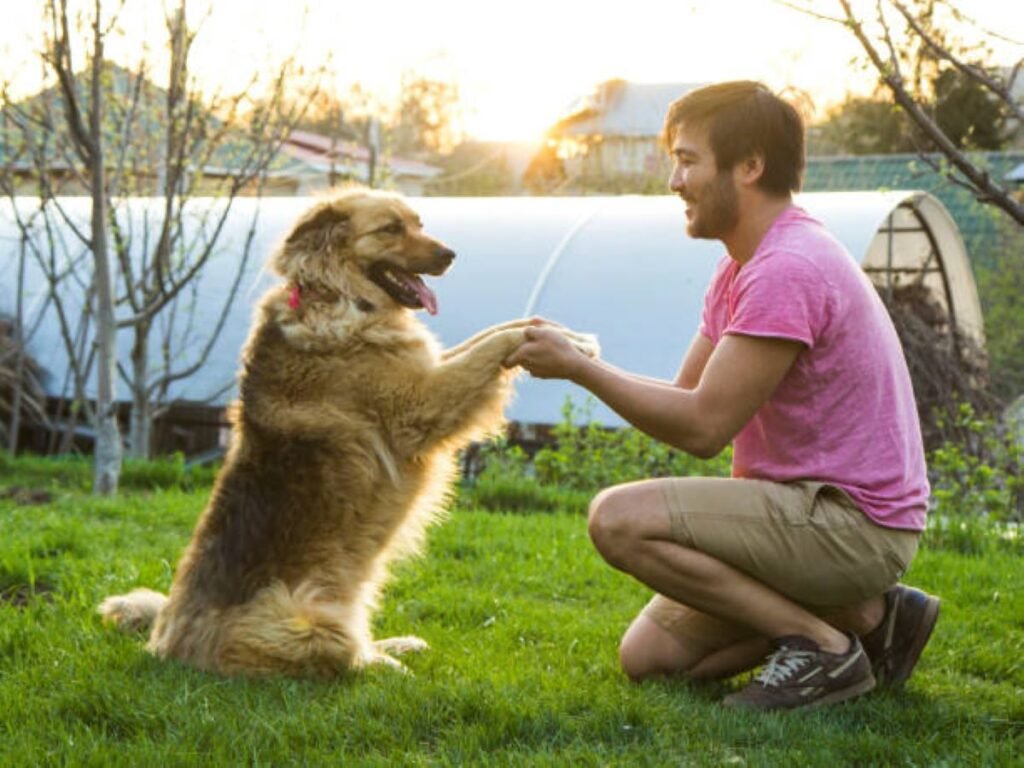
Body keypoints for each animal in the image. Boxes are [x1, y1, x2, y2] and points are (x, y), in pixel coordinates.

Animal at [96, 188, 598, 679]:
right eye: (391, 229)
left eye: (418, 223)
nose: (450, 255)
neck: (336, 296)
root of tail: (163, 641)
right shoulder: (421, 402)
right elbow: (498, 342)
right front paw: (567, 344)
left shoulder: (426, 369)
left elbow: (506, 327)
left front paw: (564, 335)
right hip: (310, 623)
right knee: (343, 659)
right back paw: (384, 663)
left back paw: (392, 645)